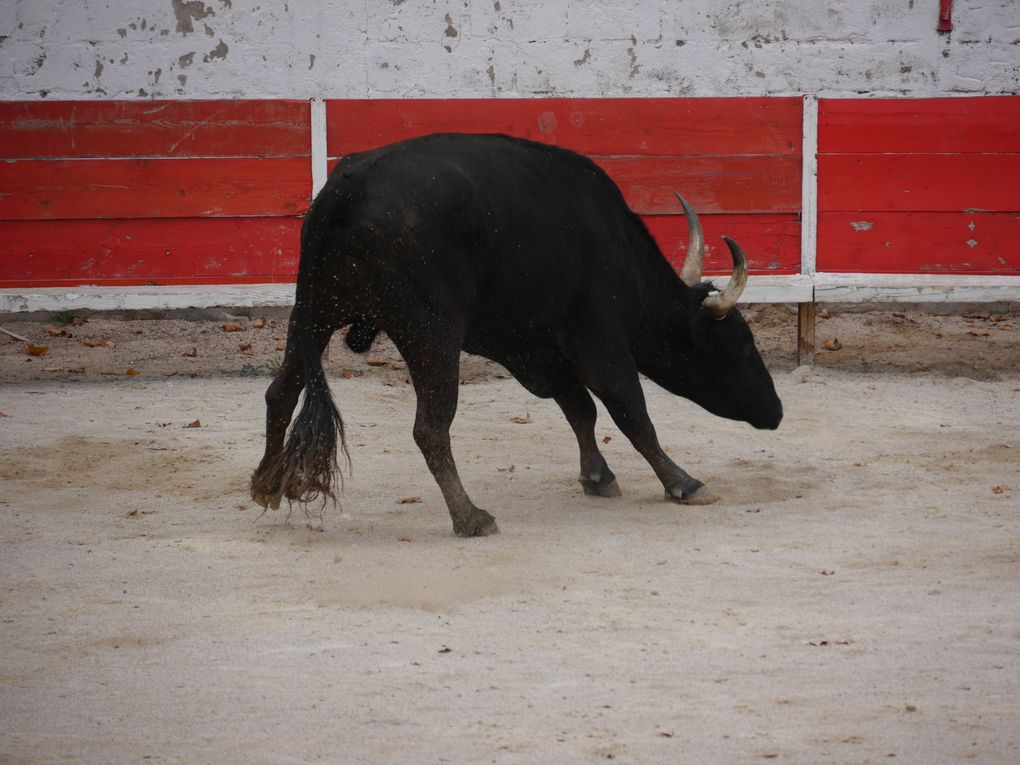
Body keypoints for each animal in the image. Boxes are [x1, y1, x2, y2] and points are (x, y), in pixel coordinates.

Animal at [248, 133, 779, 538]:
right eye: (740, 345)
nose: (776, 411)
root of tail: (345, 191)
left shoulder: (529, 348)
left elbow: (579, 408)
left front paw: (597, 475)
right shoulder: (600, 342)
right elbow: (632, 414)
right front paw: (683, 483)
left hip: (313, 314)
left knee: (281, 392)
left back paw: (266, 484)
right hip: (431, 334)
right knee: (430, 427)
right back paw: (470, 517)